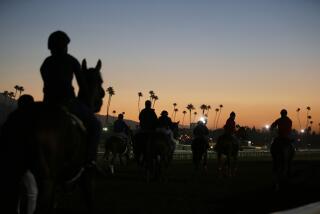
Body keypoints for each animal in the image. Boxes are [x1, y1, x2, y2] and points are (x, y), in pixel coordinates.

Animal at [0, 59, 104, 213]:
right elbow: (89, 202)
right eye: (101, 81)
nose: (101, 100)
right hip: (46, 180)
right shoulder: (87, 178)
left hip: (13, 175)